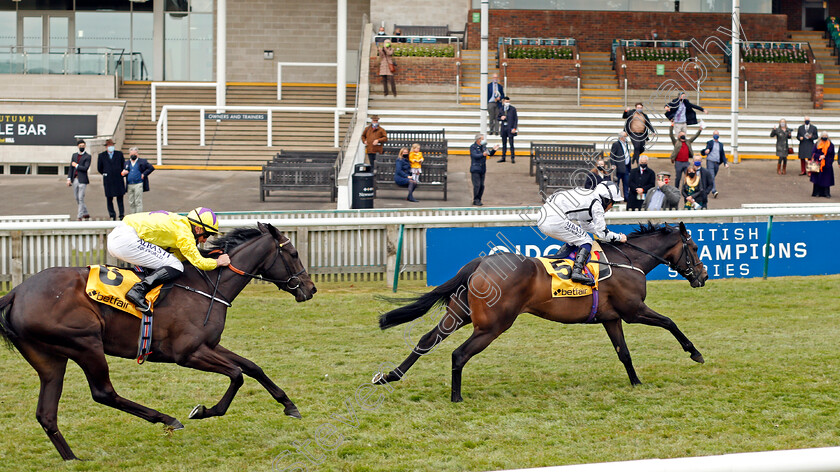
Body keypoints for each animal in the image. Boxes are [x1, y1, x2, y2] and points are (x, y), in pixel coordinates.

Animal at [0, 222, 316, 460]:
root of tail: (15, 293)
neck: (206, 287)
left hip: (51, 360)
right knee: (103, 393)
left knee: (46, 414)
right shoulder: (187, 354)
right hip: (85, 344)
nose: (310, 288)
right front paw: (204, 411)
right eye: (294, 253)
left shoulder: (208, 346)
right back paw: (167, 419)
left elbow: (252, 367)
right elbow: (237, 375)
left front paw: (289, 405)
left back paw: (72, 459)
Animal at [374, 221, 708, 402]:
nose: (703, 275)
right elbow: (670, 322)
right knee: (459, 354)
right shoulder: (633, 310)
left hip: (460, 314)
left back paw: (389, 376)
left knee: (426, 341)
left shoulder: (611, 318)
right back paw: (456, 396)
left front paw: (636, 382)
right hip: (492, 325)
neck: (628, 261)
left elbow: (623, 352)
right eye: (693, 248)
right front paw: (695, 353)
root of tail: (480, 262)